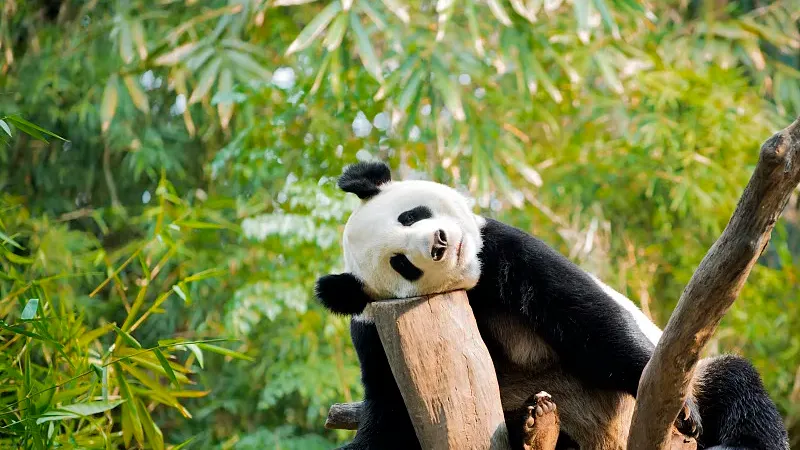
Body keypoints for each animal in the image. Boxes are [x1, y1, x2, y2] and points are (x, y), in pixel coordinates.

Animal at [315, 161, 789, 450]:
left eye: (410, 216)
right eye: (401, 263)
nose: (440, 244)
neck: (468, 288)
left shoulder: (501, 249)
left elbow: (590, 324)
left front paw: (684, 411)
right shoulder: (375, 334)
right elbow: (389, 413)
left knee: (734, 384)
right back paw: (534, 427)